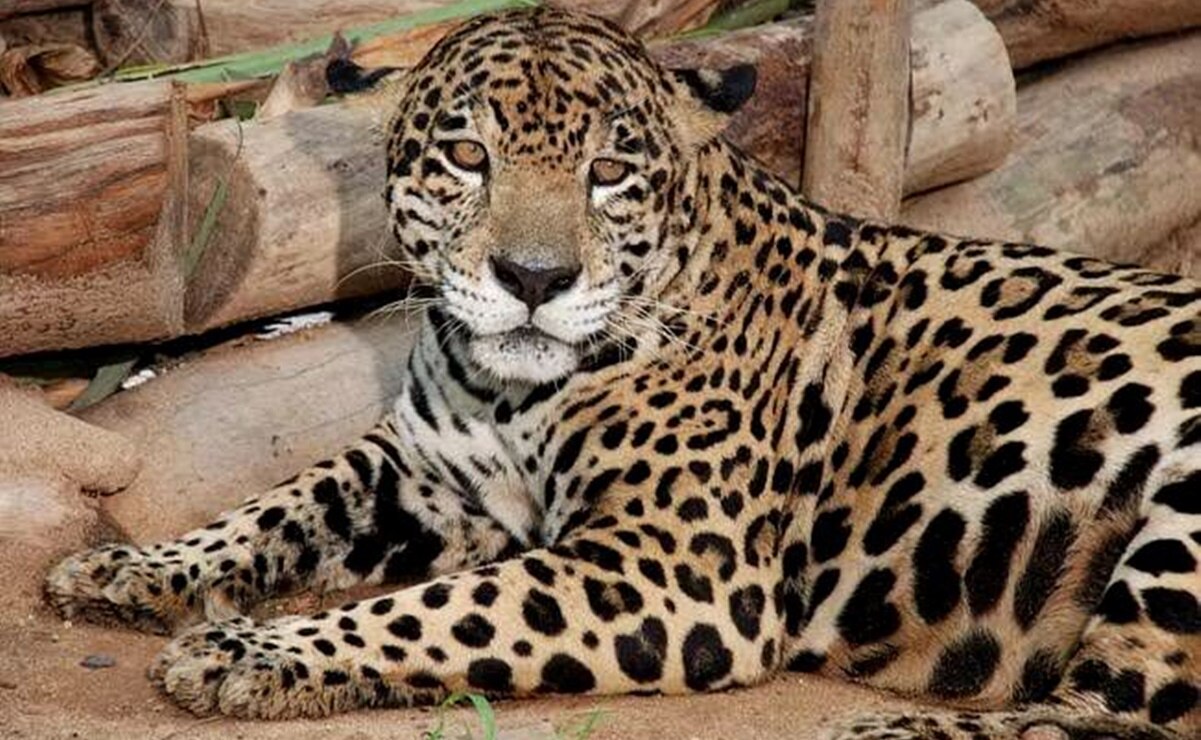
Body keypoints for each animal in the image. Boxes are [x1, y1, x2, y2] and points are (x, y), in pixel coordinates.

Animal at [45, 8, 1199, 738]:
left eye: (609, 172)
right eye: (468, 158)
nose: (533, 278)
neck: (510, 391)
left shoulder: (678, 566)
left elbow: (442, 607)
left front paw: (250, 651)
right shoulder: (421, 469)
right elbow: (276, 504)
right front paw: (131, 566)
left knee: (1117, 716)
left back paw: (895, 732)